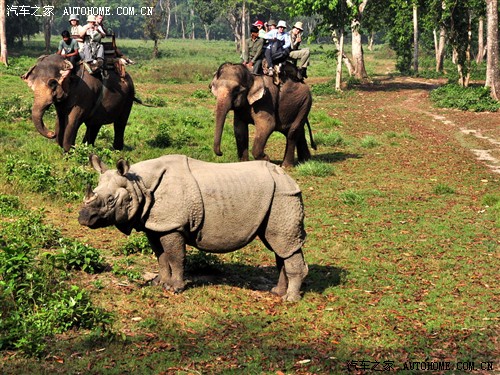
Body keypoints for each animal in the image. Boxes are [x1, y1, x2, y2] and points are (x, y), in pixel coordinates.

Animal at [78, 153, 308, 302]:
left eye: (110, 200)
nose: (83, 218)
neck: (139, 185)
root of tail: (289, 178)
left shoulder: (173, 225)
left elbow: (175, 256)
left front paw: (175, 288)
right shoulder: (155, 224)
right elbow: (161, 257)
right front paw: (159, 283)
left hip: (283, 195)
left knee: (284, 243)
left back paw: (289, 300)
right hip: (277, 195)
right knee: (279, 247)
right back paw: (277, 292)